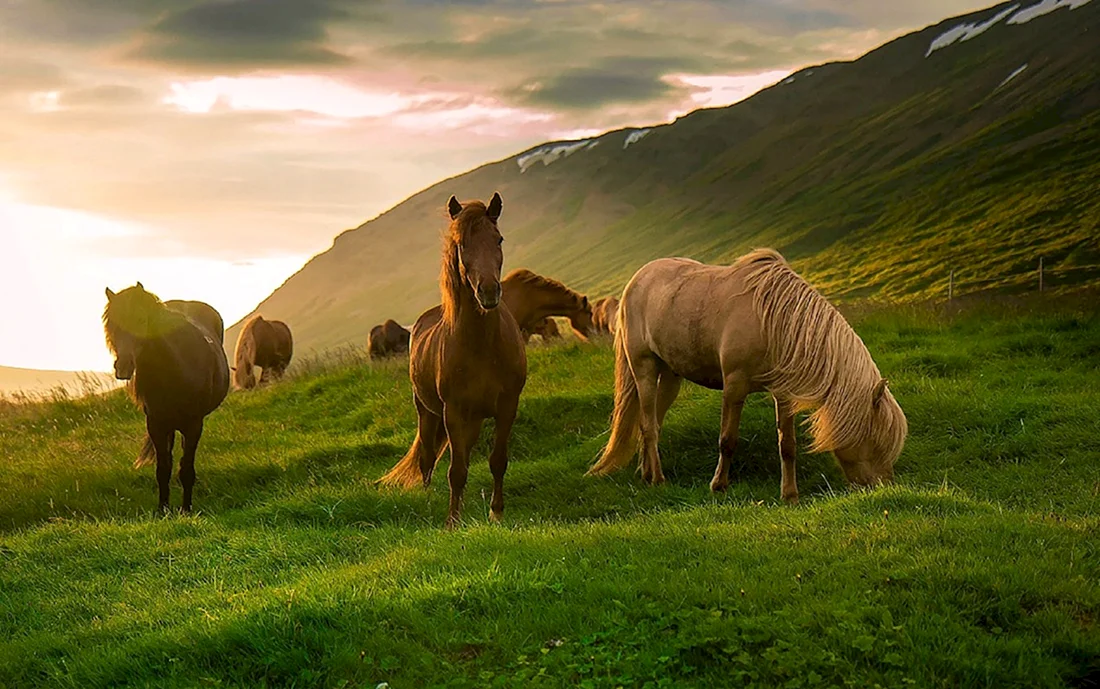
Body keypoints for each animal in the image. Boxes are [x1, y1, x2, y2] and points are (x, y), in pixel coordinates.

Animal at [103, 283, 230, 513]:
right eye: (112, 326)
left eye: (141, 320)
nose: (123, 367)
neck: (177, 367)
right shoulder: (156, 425)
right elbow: (163, 470)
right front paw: (163, 510)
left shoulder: (193, 425)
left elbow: (186, 470)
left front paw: (186, 509)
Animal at [377, 192, 527, 528]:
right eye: (461, 243)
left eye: (498, 239)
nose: (488, 291)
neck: (482, 347)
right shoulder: (454, 412)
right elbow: (455, 471)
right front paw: (452, 521)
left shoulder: (507, 406)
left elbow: (497, 461)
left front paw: (496, 512)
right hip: (428, 412)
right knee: (427, 459)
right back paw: (428, 499)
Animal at [588, 249, 907, 503]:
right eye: (876, 440)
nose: (883, 487)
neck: (774, 322)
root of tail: (636, 279)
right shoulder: (734, 386)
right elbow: (727, 440)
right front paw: (718, 485)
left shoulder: (784, 394)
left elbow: (787, 445)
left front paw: (789, 495)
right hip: (644, 367)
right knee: (648, 425)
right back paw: (658, 479)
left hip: (670, 376)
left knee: (652, 420)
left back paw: (646, 473)